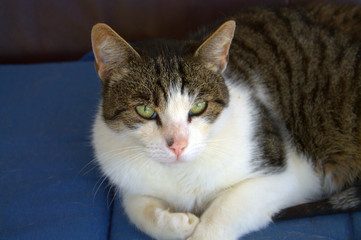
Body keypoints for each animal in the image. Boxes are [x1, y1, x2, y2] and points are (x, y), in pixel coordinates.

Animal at [90, 2, 360, 240]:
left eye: (198, 107)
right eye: (145, 110)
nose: (178, 145)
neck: (180, 175)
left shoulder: (285, 178)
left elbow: (221, 212)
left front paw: (199, 228)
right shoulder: (128, 181)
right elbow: (138, 210)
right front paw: (180, 223)